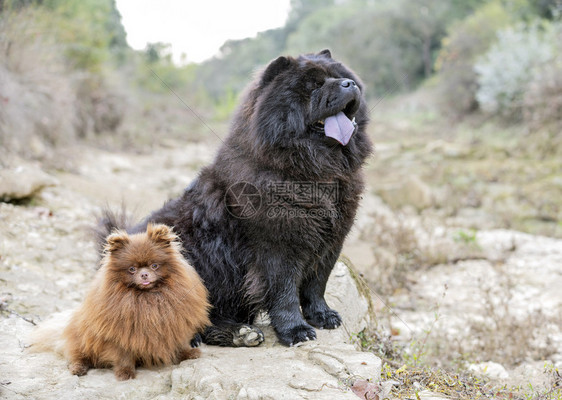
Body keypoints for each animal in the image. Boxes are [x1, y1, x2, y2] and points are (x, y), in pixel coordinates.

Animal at [31, 223, 210, 380]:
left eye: (154, 266)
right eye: (132, 269)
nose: (144, 274)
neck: (146, 297)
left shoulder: (175, 325)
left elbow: (179, 342)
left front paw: (187, 354)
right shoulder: (120, 334)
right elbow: (124, 355)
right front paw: (125, 372)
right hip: (81, 337)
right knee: (78, 356)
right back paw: (78, 368)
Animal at [99, 50, 372, 346]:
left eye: (340, 76)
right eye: (313, 86)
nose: (349, 84)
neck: (315, 172)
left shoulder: (330, 241)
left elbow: (316, 284)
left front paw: (322, 316)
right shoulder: (278, 247)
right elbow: (284, 292)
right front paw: (295, 330)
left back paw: (242, 332)